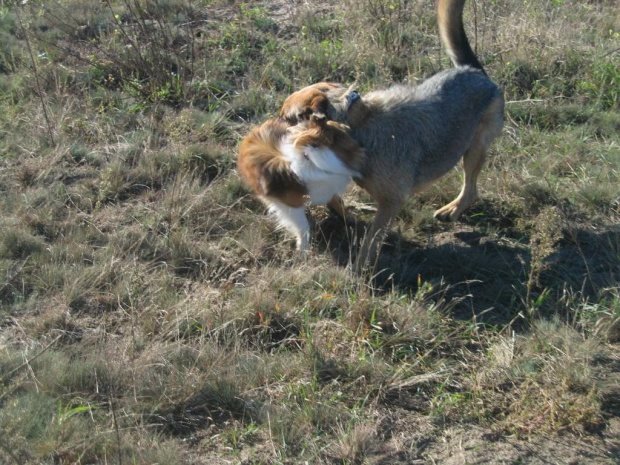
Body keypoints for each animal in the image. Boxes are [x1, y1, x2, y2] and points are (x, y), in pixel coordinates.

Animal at [236, 116, 364, 254]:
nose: (349, 127)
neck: (313, 161)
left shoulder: (328, 187)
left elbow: (335, 200)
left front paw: (347, 216)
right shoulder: (290, 206)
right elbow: (303, 226)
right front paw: (302, 250)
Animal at [280, 0, 504, 266]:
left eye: (285, 118)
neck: (355, 127)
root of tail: (474, 70)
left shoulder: (391, 201)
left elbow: (371, 239)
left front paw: (359, 269)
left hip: (475, 148)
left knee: (471, 189)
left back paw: (452, 209)